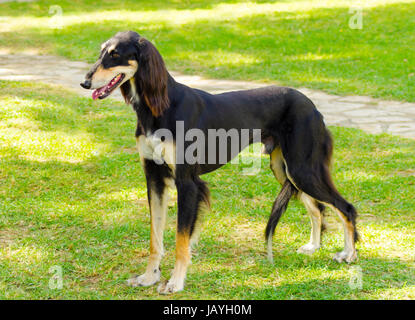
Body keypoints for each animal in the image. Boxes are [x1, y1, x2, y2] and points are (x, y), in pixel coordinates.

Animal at [82, 31, 360, 294]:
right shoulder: (154, 178)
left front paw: (175, 282)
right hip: (286, 170)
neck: (160, 106)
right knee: (317, 208)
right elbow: (155, 237)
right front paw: (150, 277)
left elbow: (181, 240)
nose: (85, 82)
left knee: (345, 207)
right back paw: (314, 246)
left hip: (303, 169)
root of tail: (312, 106)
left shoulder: (187, 183)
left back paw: (349, 254)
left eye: (115, 55)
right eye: (101, 52)